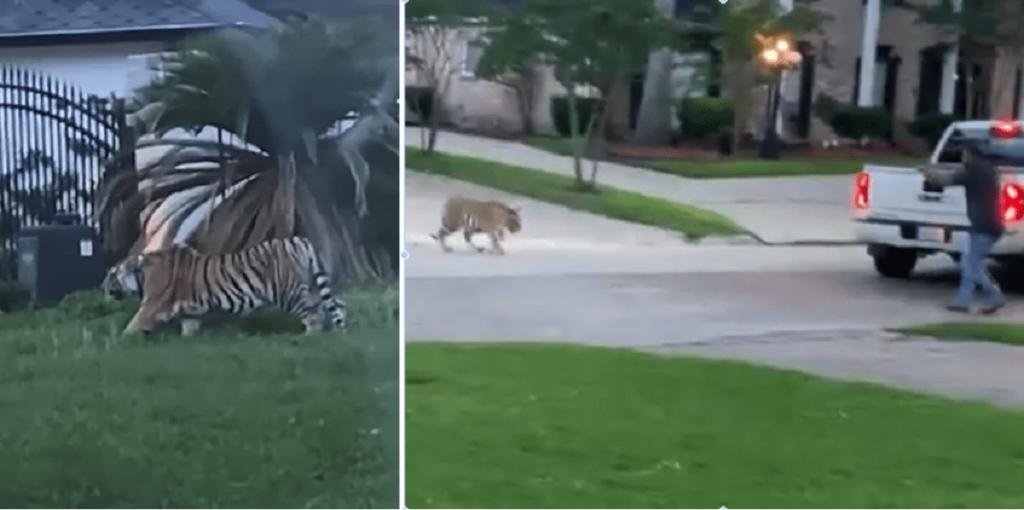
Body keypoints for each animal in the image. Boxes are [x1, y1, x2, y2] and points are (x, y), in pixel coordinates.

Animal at [103, 237, 346, 336]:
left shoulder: (151, 306)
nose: (102, 287)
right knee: (336, 305)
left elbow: (133, 325)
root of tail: (299, 240)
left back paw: (309, 336)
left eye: (111, 274)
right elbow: (189, 328)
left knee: (314, 314)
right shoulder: (190, 312)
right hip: (310, 285)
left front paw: (118, 343)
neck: (142, 274)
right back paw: (337, 330)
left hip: (291, 292)